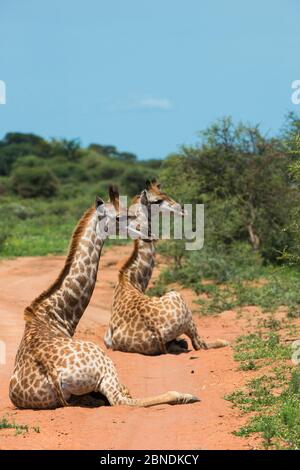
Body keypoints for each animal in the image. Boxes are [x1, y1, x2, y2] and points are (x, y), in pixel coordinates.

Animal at [8, 185, 199, 410]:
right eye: (119, 217)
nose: (148, 234)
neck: (55, 316)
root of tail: (54, 376)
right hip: (104, 362)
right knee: (121, 400)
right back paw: (185, 395)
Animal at [104, 178, 229, 354]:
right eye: (157, 200)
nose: (183, 209)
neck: (130, 280)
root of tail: (155, 332)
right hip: (180, 301)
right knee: (200, 345)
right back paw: (224, 341)